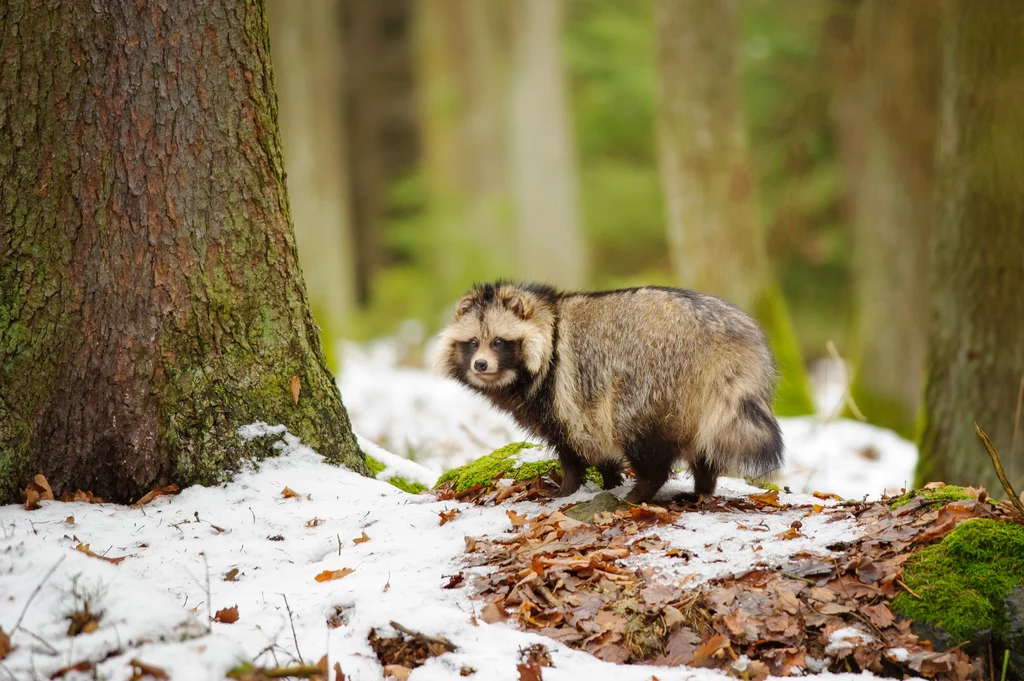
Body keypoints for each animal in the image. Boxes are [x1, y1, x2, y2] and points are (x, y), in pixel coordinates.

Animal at [438, 278, 782, 501]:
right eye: (473, 343)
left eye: (498, 342)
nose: (480, 365)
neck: (550, 321)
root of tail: (723, 336)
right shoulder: (584, 401)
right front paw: (608, 479)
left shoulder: (564, 394)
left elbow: (574, 447)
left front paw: (568, 489)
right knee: (706, 445)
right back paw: (703, 485)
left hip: (653, 382)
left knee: (639, 437)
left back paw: (643, 490)